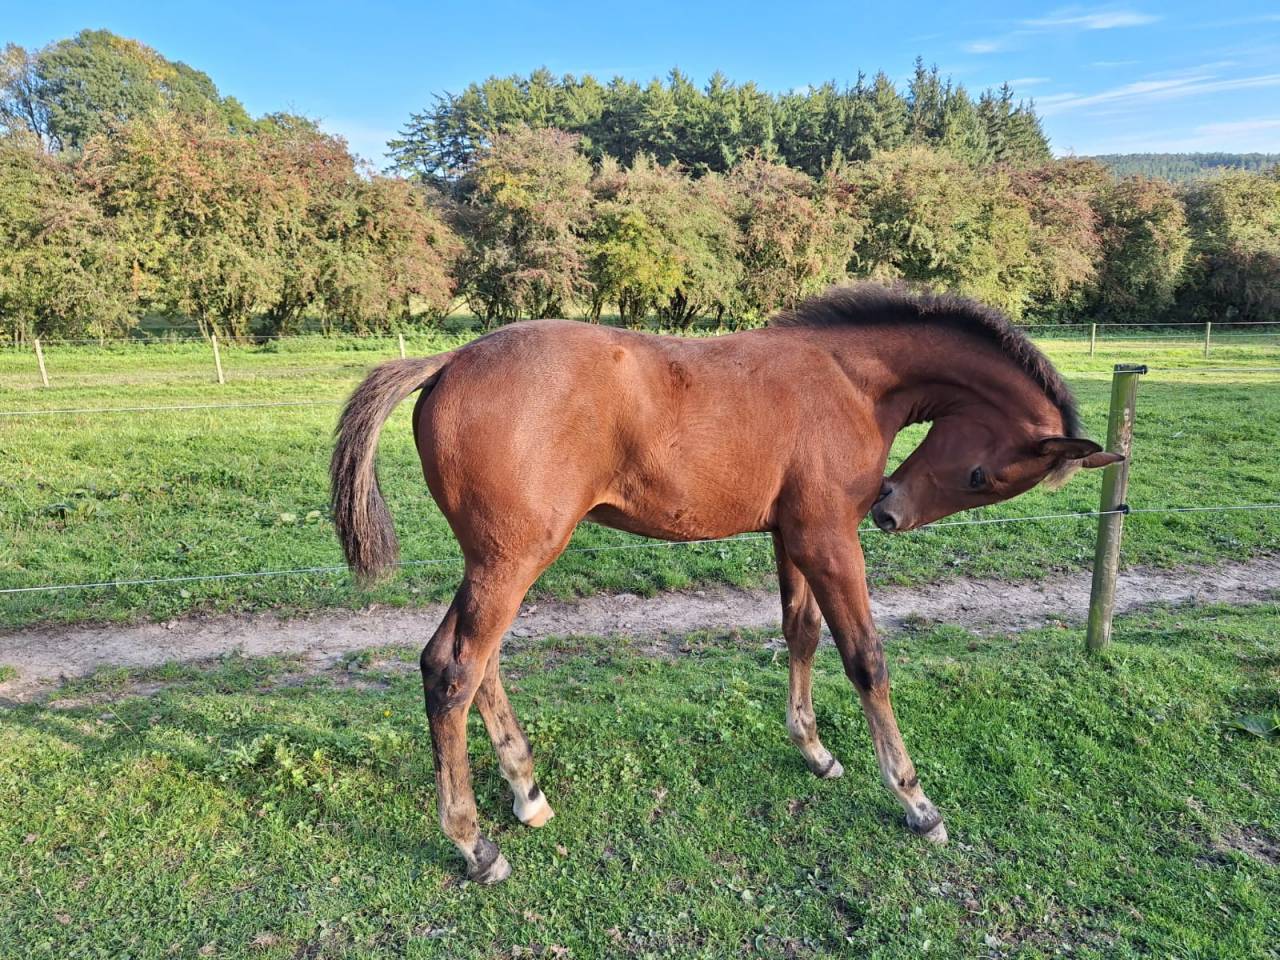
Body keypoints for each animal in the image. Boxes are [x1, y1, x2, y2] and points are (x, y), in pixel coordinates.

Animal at [330, 283, 1121, 884]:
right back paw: (475, 844)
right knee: (452, 669)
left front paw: (815, 751)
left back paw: (527, 793)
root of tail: (448, 360)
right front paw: (916, 801)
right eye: (982, 476)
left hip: (498, 561)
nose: (890, 511)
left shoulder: (792, 535)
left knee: (478, 665)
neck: (848, 379)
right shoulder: (830, 537)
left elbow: (801, 633)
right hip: (512, 559)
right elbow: (866, 658)